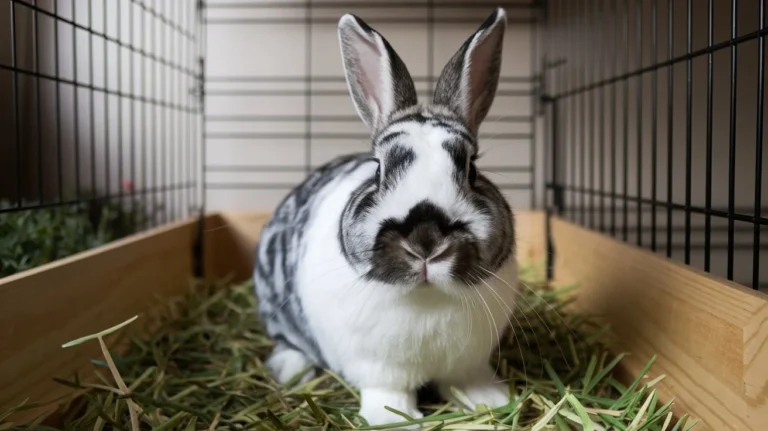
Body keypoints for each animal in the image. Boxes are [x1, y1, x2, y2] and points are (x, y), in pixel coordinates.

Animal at [253, 8, 518, 428]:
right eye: (378, 170)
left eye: (471, 169)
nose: (426, 240)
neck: (427, 297)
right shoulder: (378, 368)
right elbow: (388, 393)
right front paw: (389, 418)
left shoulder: (468, 362)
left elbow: (468, 380)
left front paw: (490, 401)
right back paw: (290, 370)